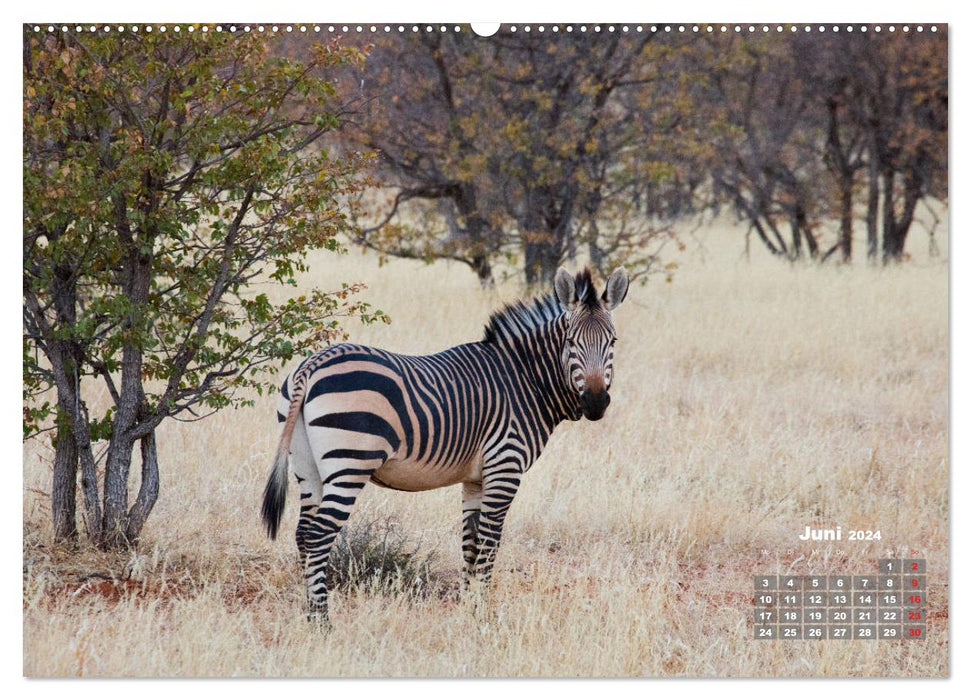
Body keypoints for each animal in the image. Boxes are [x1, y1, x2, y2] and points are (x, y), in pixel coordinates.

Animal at [262, 268, 636, 624]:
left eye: (613, 341)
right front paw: (483, 616)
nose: (596, 403)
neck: (524, 379)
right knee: (319, 536)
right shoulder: (505, 467)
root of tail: (311, 365)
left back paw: (308, 613)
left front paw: (469, 608)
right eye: (571, 342)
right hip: (349, 464)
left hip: (307, 466)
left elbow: (470, 544)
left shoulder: (475, 479)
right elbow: (489, 542)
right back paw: (322, 621)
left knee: (303, 534)